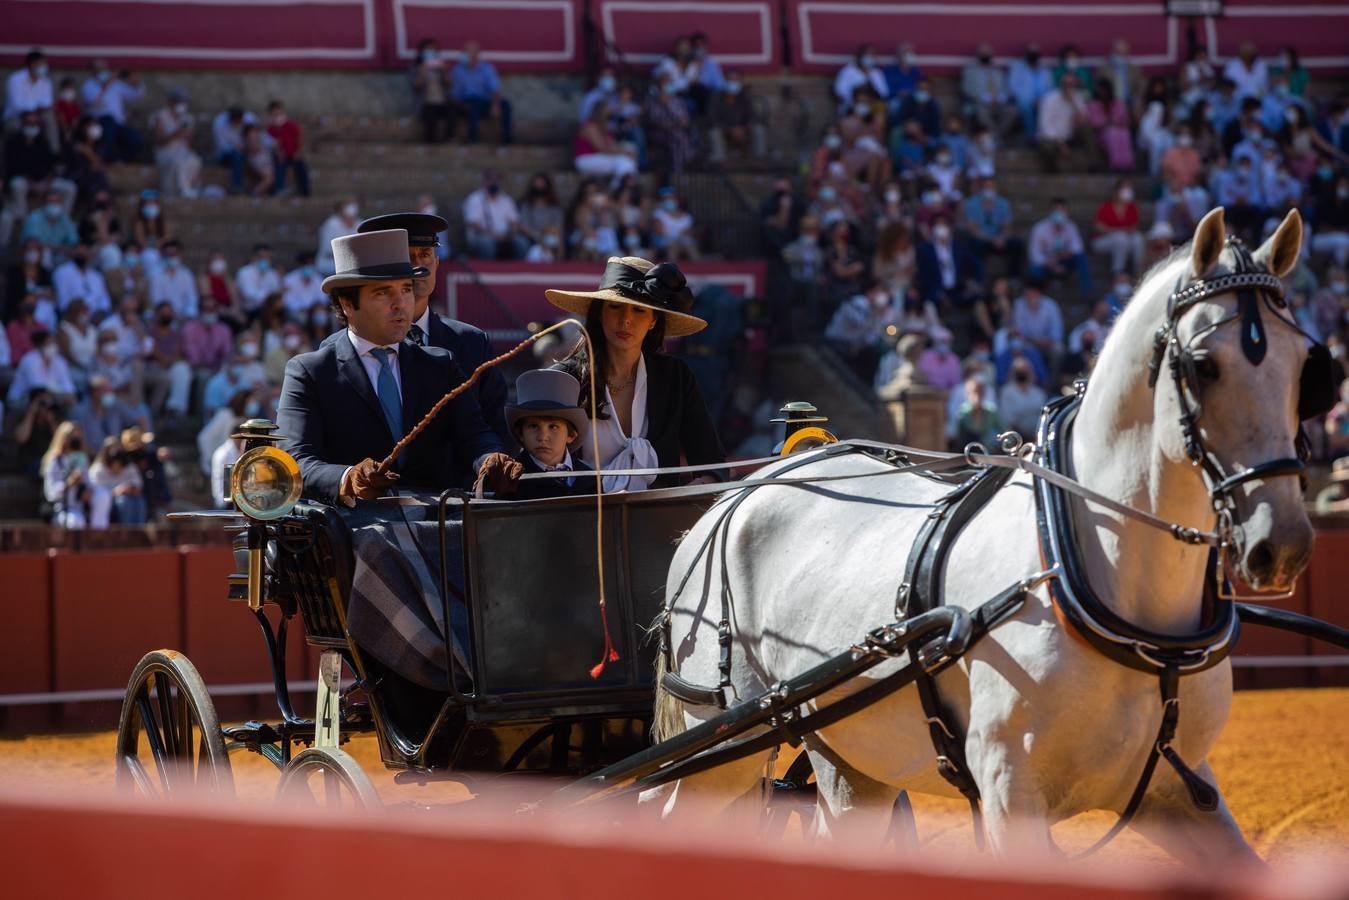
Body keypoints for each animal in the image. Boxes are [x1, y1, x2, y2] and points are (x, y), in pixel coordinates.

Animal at [652, 209, 1316, 863]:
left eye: (1306, 367)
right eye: (1204, 365)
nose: (1280, 543)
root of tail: (737, 495)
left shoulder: (1178, 788)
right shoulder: (1009, 795)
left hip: (847, 755)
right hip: (721, 743)